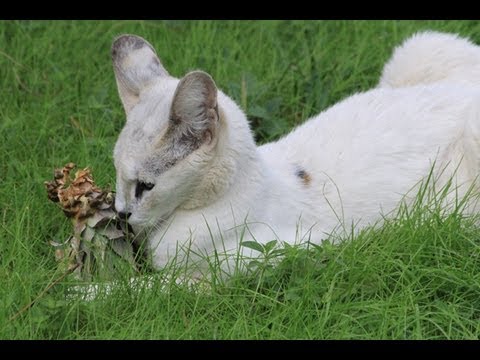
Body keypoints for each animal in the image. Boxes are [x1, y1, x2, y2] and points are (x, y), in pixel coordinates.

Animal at [112, 31, 480, 272]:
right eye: (117, 175)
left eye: (146, 186)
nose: (121, 213)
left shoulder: (267, 255)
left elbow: (141, 291)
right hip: (418, 48)